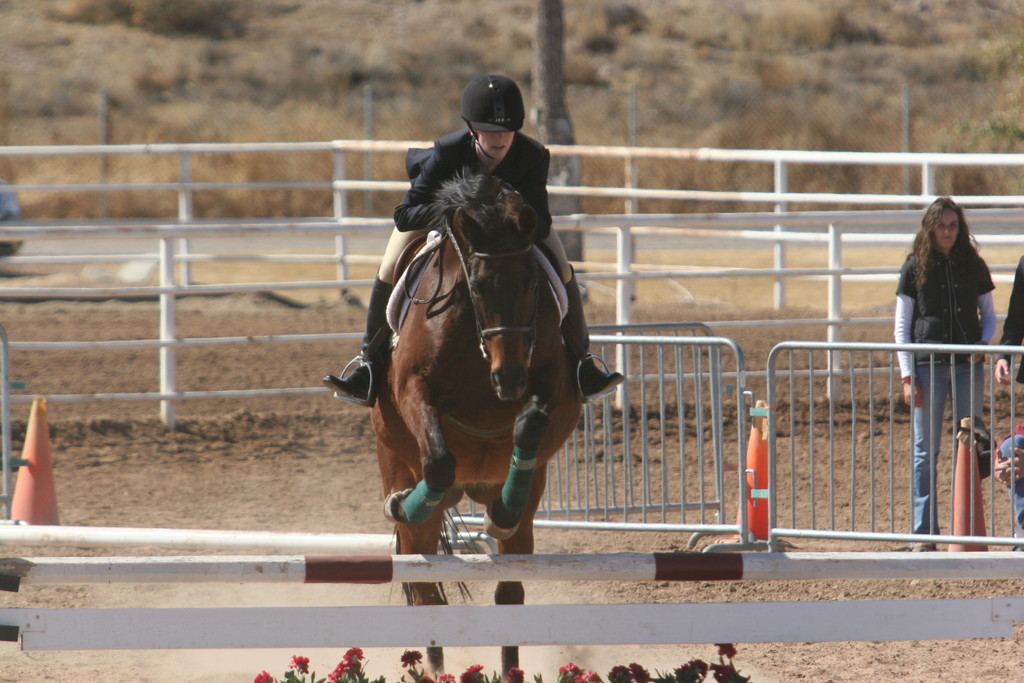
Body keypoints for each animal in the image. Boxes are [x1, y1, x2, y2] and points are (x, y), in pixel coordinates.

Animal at [372, 171, 585, 671]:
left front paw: (502, 511)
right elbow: (438, 461)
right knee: (425, 583)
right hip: (396, 464)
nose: (508, 378)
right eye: (480, 286)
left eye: (531, 283)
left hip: (523, 500)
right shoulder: (413, 388)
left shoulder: (549, 382)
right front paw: (406, 503)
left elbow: (530, 423)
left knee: (509, 588)